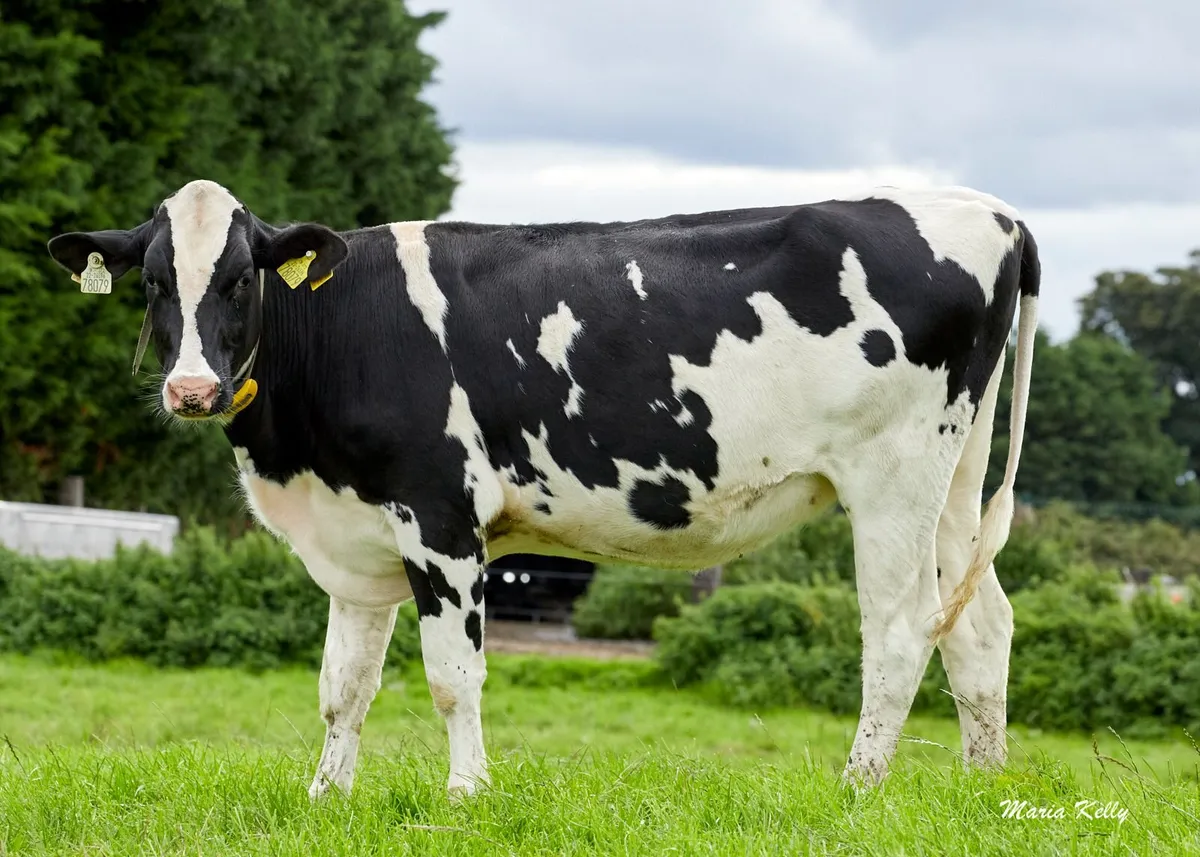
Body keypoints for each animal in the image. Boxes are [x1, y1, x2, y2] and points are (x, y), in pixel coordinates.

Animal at [47, 179, 1039, 798]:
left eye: (240, 276)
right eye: (151, 282)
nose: (191, 389)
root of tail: (989, 211)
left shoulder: (440, 517)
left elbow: (452, 676)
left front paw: (465, 791)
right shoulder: (356, 535)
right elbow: (343, 685)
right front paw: (327, 794)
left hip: (894, 475)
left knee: (901, 630)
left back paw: (857, 787)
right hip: (955, 477)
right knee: (980, 624)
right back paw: (978, 788)